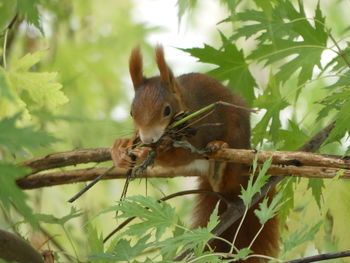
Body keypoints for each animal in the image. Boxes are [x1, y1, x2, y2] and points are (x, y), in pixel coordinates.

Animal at [112, 46, 278, 262]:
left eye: (167, 110)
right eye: (132, 113)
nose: (149, 139)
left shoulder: (197, 132)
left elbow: (179, 157)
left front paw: (148, 150)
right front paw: (120, 149)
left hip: (237, 135)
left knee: (226, 180)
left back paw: (218, 160)